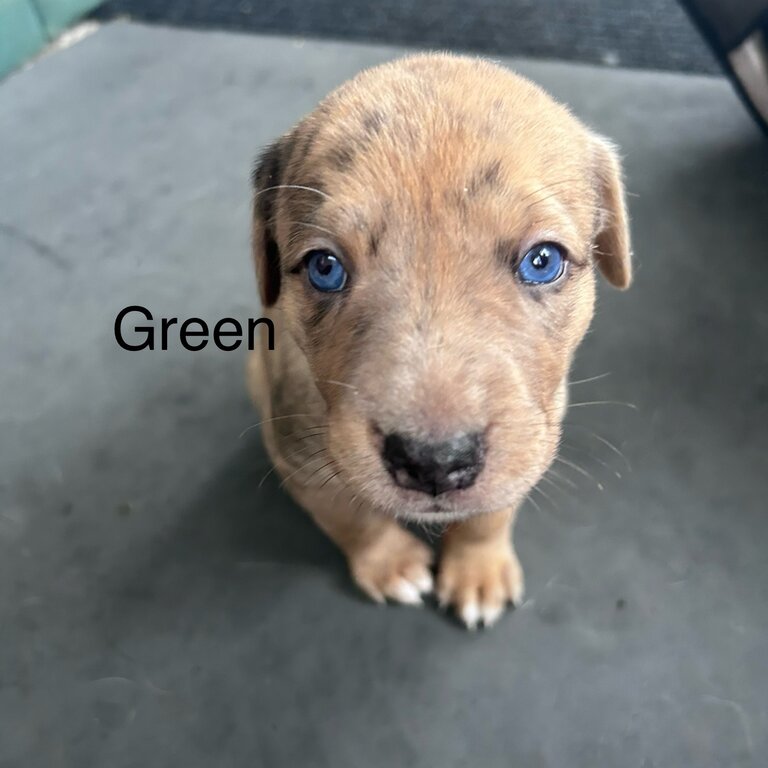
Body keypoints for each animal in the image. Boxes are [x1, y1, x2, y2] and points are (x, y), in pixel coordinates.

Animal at [246, 54, 632, 632]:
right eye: (325, 267)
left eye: (542, 261)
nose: (434, 463)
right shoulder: (304, 462)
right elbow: (353, 518)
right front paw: (389, 563)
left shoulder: (532, 436)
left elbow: (489, 515)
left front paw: (477, 569)